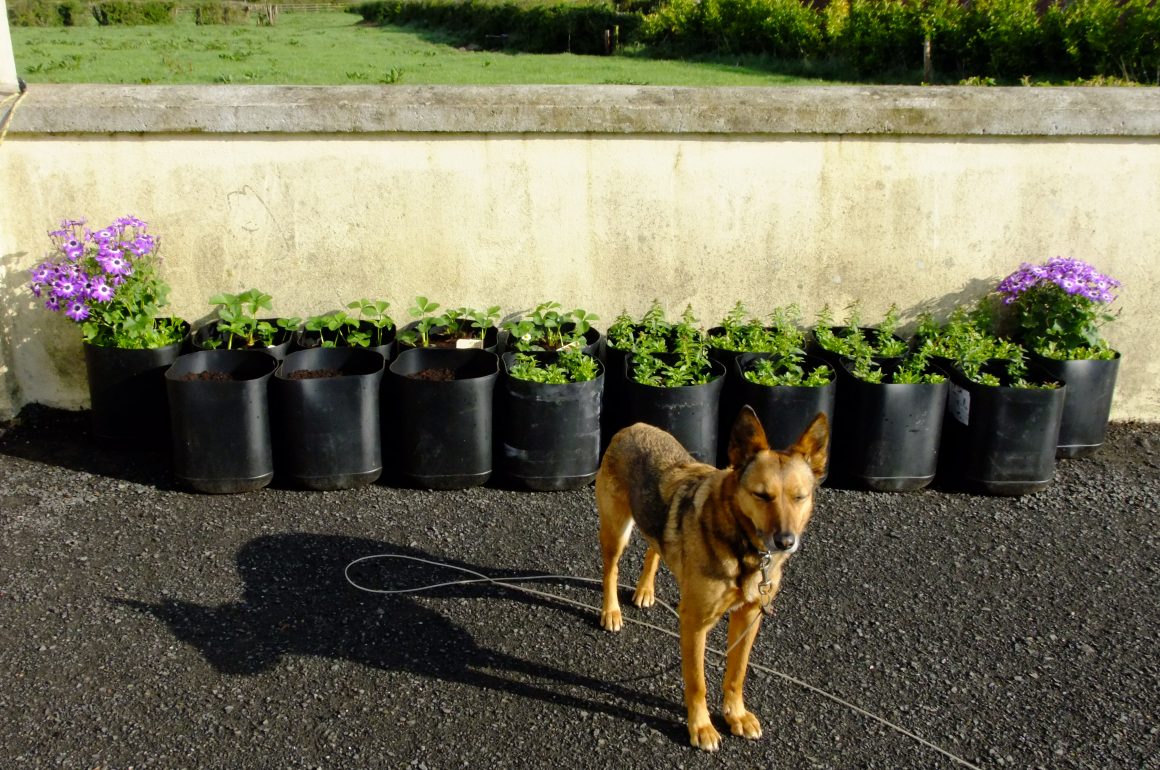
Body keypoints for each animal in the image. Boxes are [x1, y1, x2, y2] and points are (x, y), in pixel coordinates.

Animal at [593, 408, 830, 751]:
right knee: (610, 570)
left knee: (655, 546)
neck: (744, 546)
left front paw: (736, 715)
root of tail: (634, 427)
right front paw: (701, 727)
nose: (786, 541)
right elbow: (697, 682)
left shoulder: (749, 616)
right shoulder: (694, 623)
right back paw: (611, 611)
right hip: (616, 529)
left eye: (800, 497)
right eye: (762, 495)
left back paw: (645, 589)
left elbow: (736, 673)